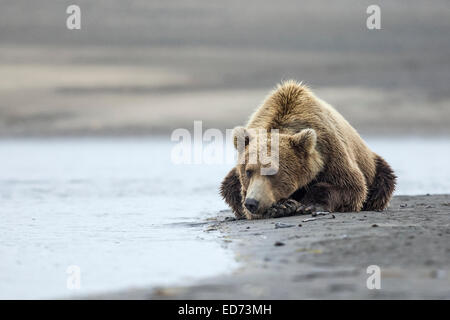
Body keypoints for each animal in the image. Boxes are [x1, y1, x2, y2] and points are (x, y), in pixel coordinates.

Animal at [220, 80, 396, 220]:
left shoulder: (330, 152)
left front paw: (309, 204)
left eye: (272, 171)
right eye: (248, 171)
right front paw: (282, 207)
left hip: (375, 167)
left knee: (384, 180)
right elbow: (233, 190)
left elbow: (351, 186)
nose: (252, 203)